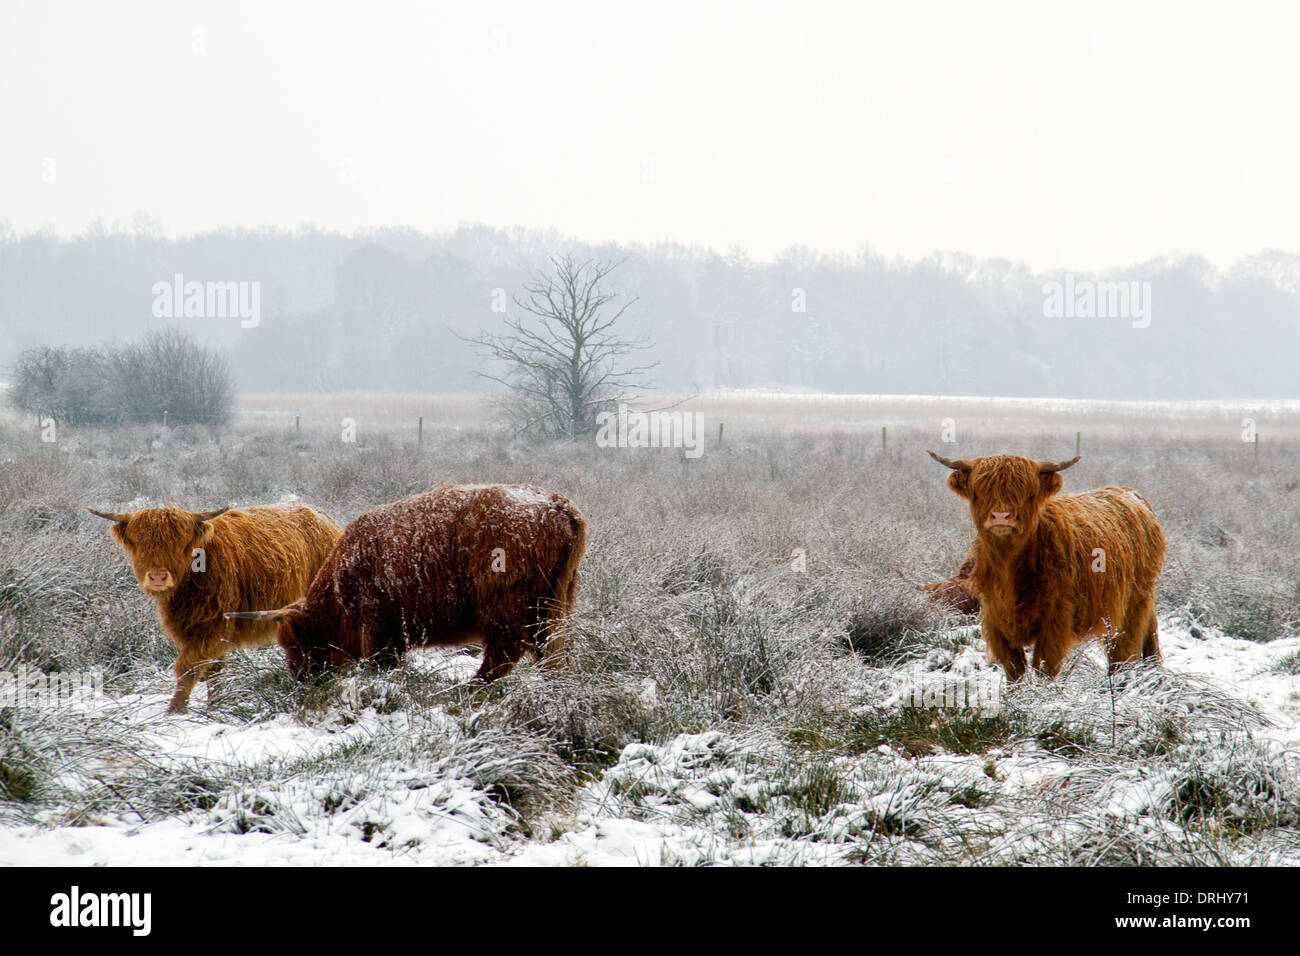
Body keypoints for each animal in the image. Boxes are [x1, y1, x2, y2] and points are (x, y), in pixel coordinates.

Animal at [88, 502, 342, 711]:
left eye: (180, 544)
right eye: (140, 543)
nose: (158, 577)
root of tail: (324, 517)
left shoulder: (211, 627)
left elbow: (188, 667)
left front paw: (175, 710)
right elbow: (213, 670)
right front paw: (215, 704)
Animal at [225, 483, 588, 684]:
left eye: (295, 644)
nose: (302, 680)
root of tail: (558, 505)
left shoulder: (378, 627)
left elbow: (381, 663)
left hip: (504, 605)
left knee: (504, 651)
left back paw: (470, 688)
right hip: (555, 604)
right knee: (550, 651)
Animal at [927, 451, 1165, 680]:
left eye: (1028, 493)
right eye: (979, 491)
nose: (1001, 516)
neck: (1009, 568)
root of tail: (1131, 494)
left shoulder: (1055, 621)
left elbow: (1044, 669)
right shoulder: (995, 620)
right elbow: (1015, 672)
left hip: (1133, 604)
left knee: (1123, 654)